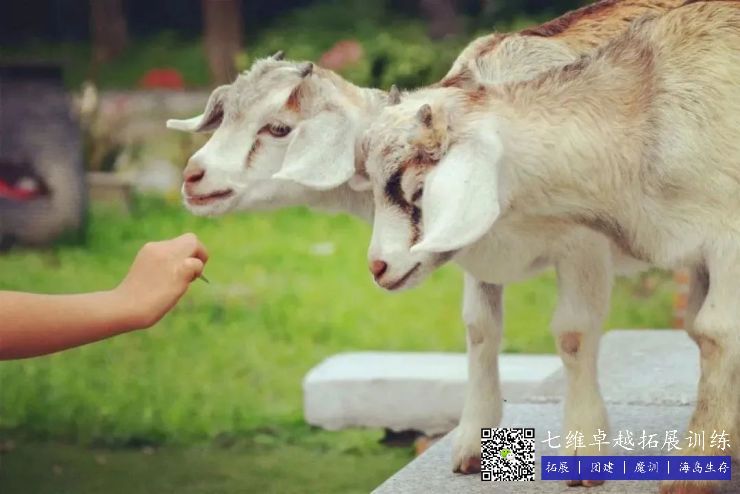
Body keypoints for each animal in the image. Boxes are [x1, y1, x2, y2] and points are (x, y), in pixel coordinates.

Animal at [167, 0, 686, 481]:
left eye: (278, 128)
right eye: (225, 116)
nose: (193, 176)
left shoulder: (584, 245)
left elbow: (574, 335)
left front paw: (585, 452)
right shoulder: (478, 254)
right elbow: (480, 330)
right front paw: (473, 445)